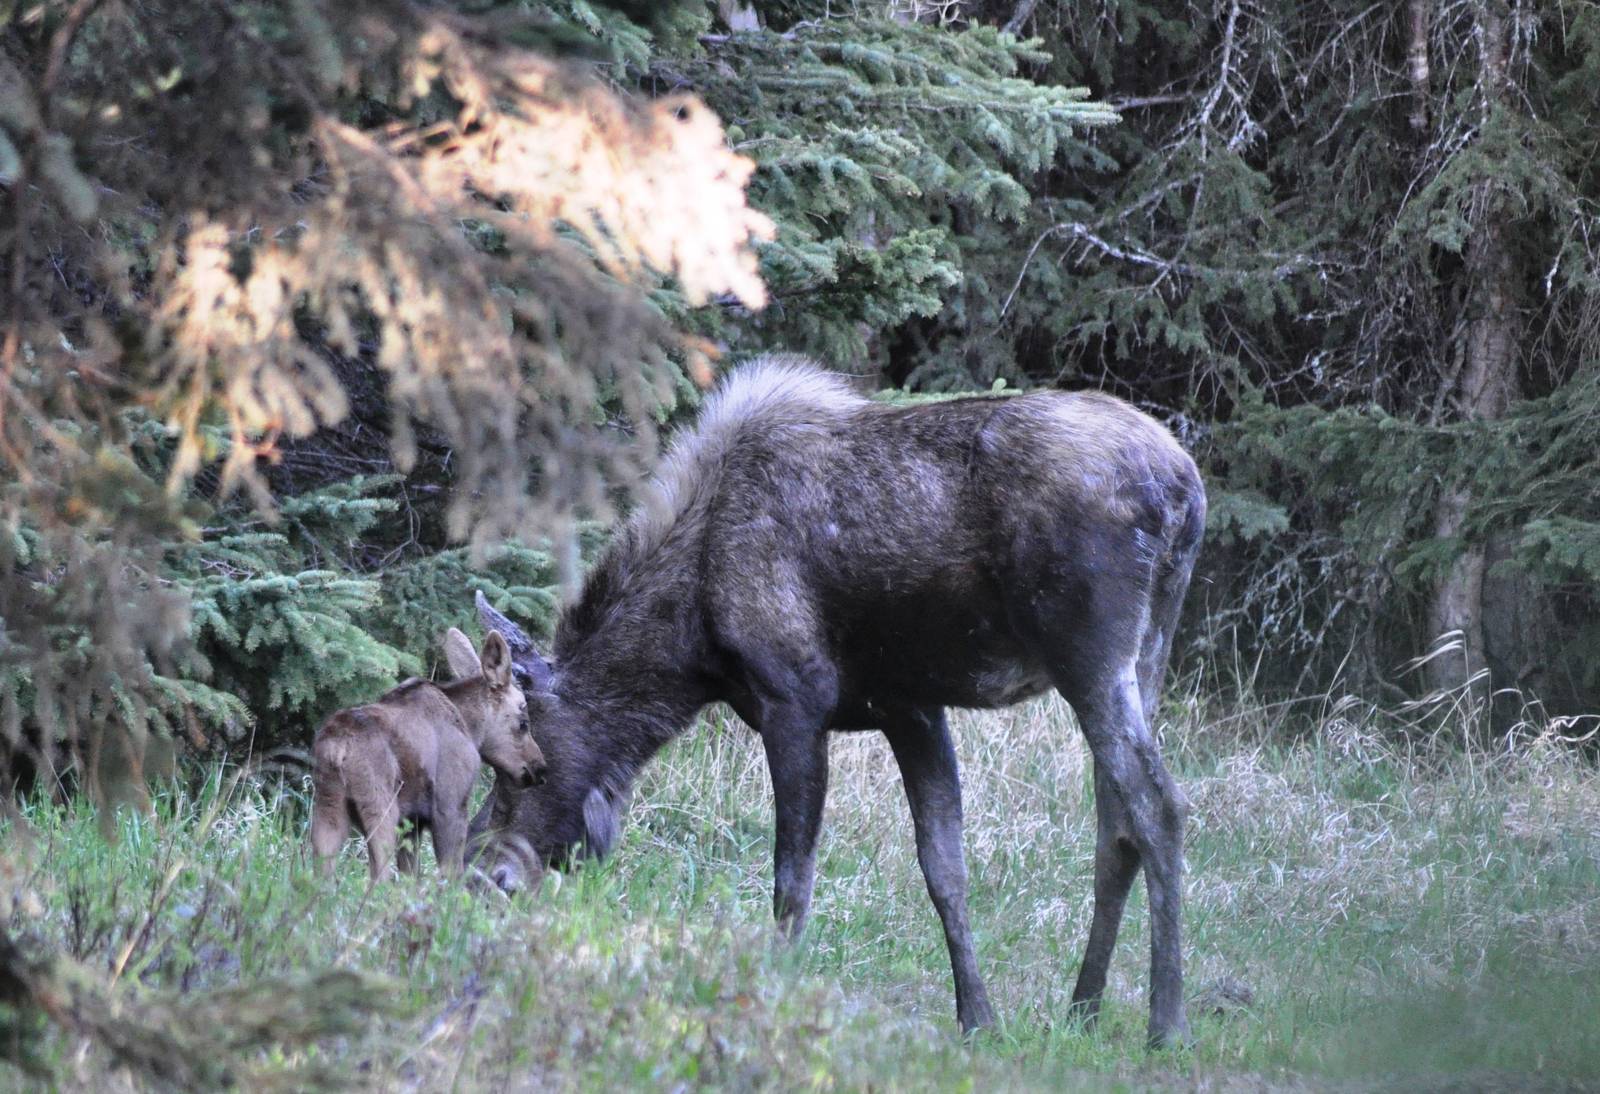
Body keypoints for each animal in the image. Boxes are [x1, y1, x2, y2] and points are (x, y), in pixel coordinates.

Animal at [310, 628, 546, 880]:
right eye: (523, 723)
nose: (539, 768)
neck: (471, 727)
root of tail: (336, 750)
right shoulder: (450, 804)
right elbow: (450, 872)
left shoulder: (412, 822)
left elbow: (410, 877)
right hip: (380, 807)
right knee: (379, 876)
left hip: (327, 808)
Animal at [467, 355, 1205, 1047]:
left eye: (521, 767)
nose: (480, 870)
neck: (690, 640)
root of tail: (1186, 492)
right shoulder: (910, 708)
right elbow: (944, 869)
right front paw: (978, 1018)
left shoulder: (793, 699)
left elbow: (792, 879)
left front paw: (773, 995)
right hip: (1146, 654)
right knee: (1115, 826)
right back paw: (1083, 1008)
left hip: (1090, 655)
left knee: (1158, 806)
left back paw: (1166, 1022)